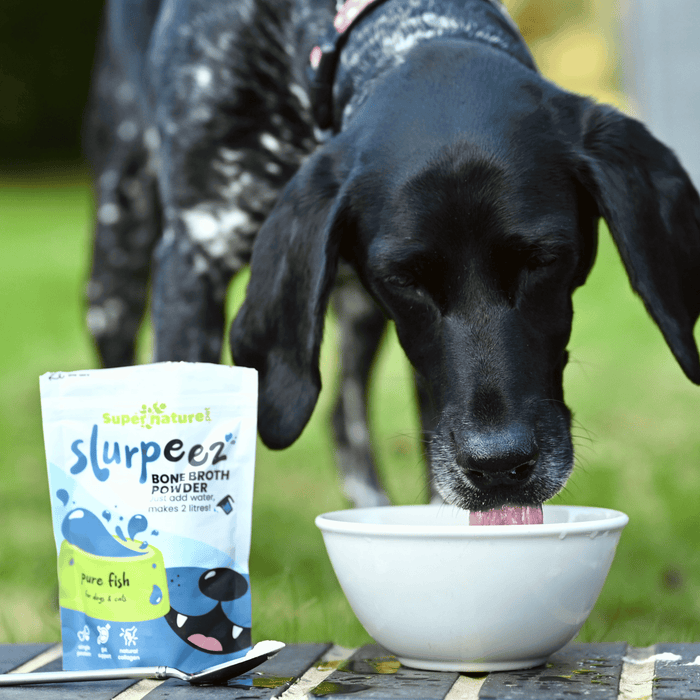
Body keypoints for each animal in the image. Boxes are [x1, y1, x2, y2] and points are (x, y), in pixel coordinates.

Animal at [86, 0, 700, 516]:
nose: (500, 467)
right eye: (404, 278)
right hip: (118, 257)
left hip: (357, 308)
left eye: (544, 259)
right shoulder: (195, 256)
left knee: (344, 411)